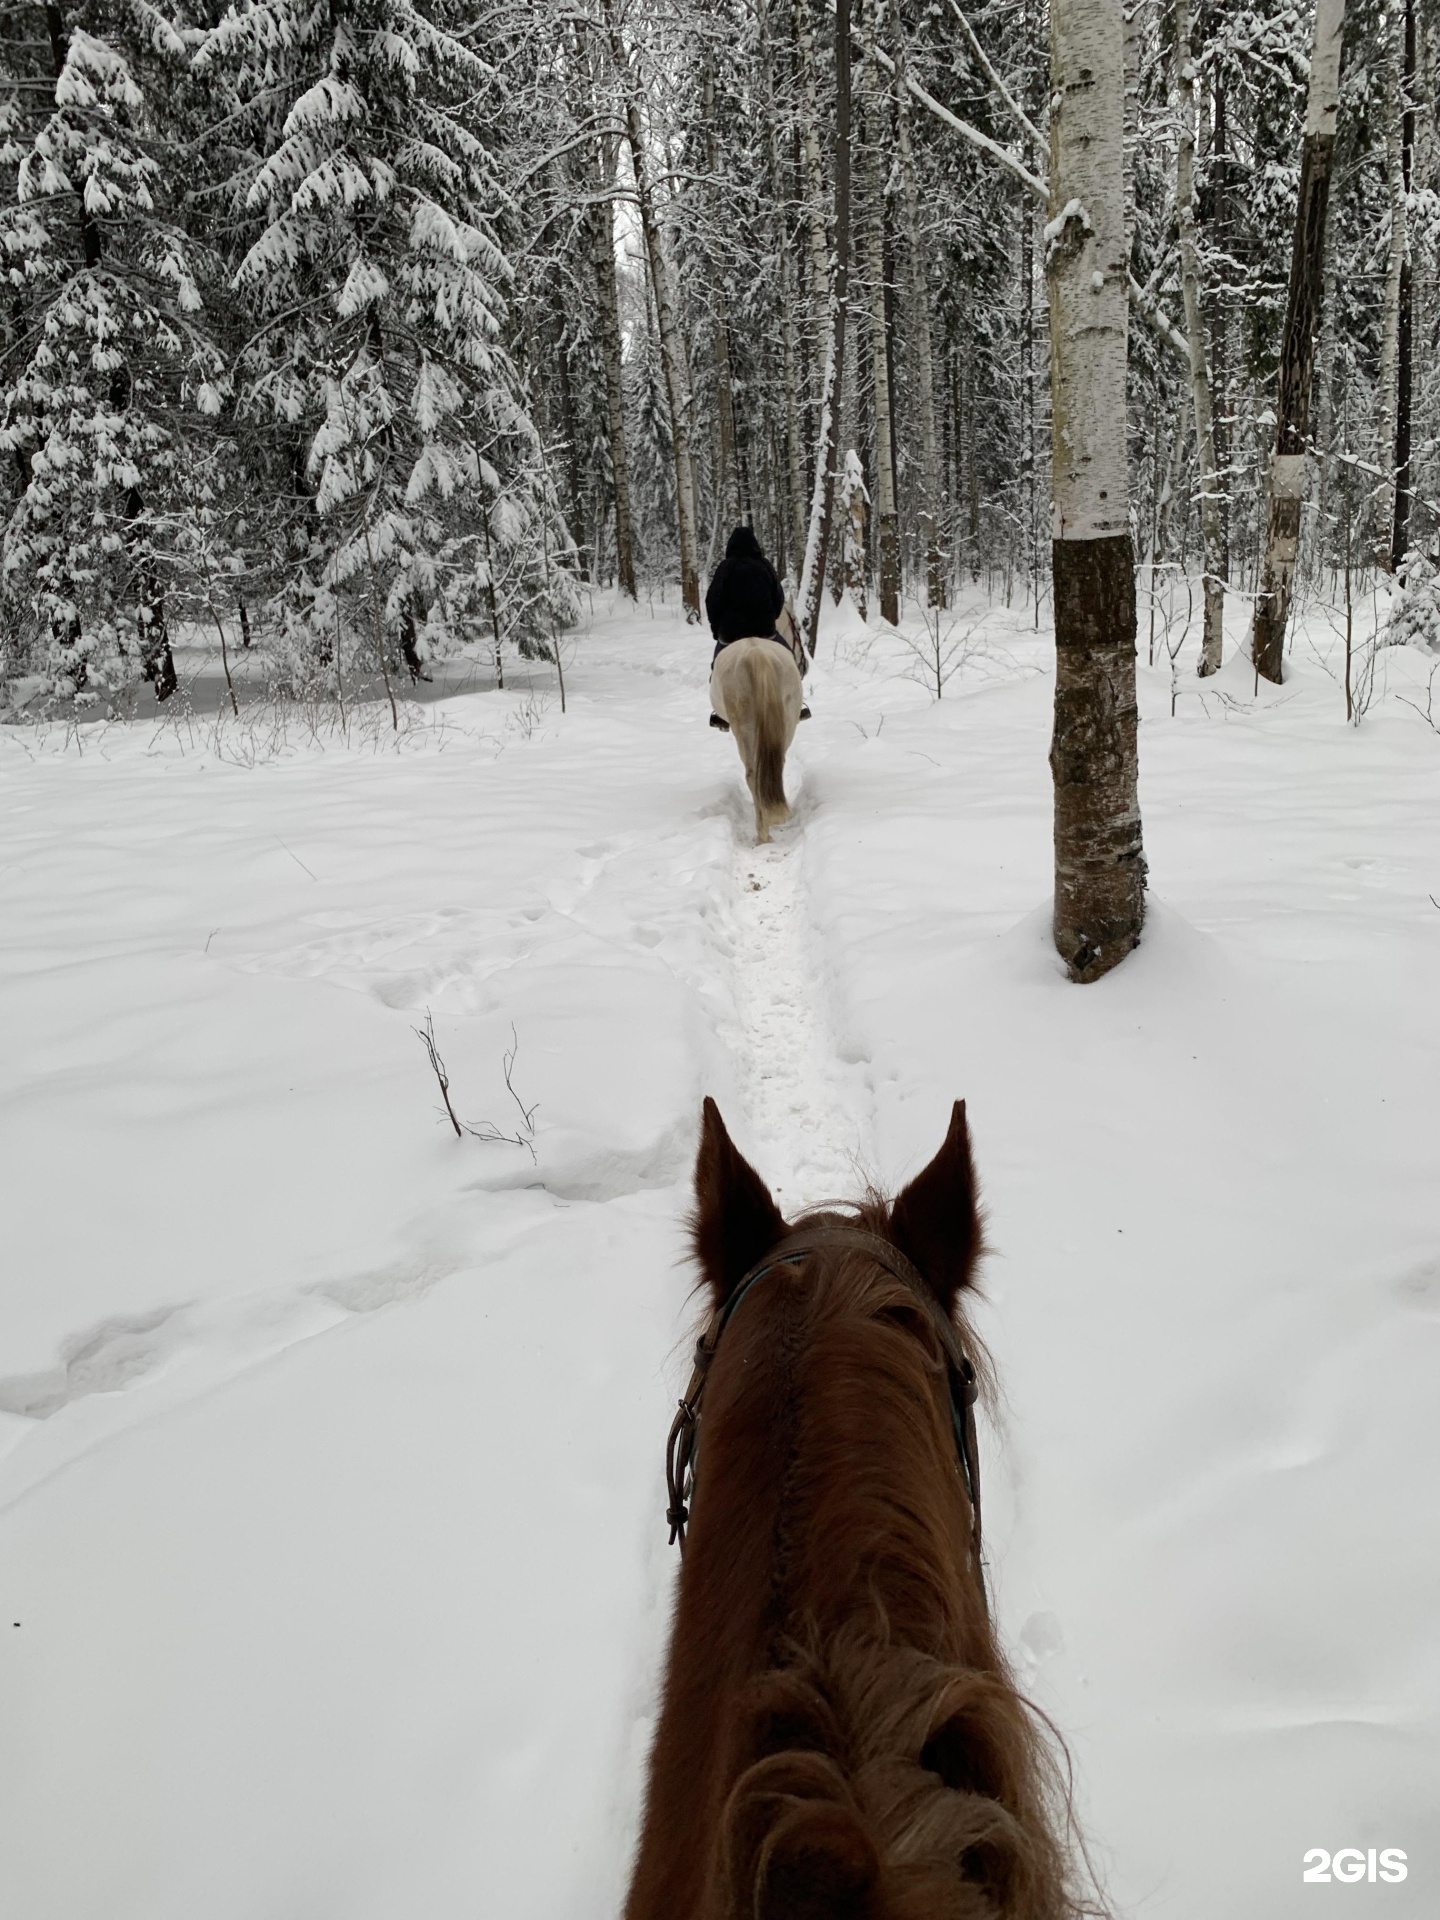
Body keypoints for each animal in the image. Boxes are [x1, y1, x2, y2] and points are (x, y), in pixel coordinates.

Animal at [714, 618, 814, 844]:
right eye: (797, 628)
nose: (805, 665)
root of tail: (756, 653)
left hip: (745, 729)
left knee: (753, 774)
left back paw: (763, 833)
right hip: (784, 726)